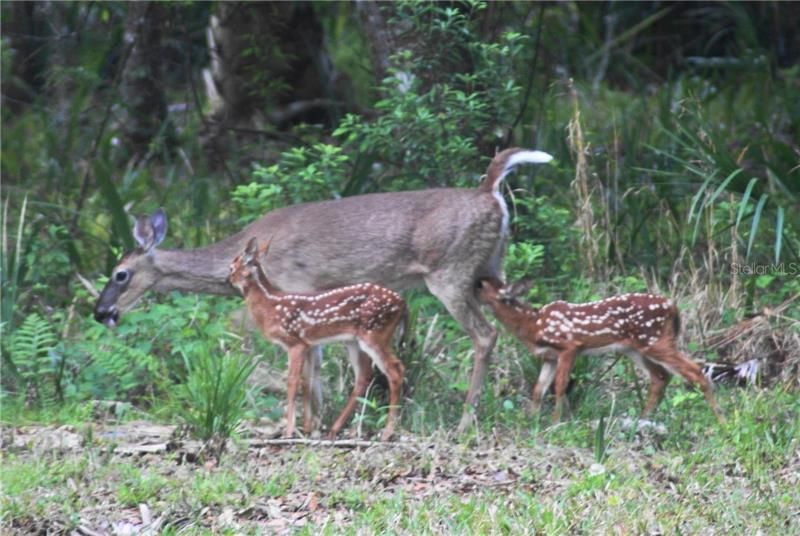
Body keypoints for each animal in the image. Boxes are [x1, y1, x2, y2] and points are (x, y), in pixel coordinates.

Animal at [230, 238, 406, 440]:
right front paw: (307, 428)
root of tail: (403, 303)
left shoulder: (294, 342)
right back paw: (336, 429)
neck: (271, 305)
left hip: (375, 333)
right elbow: (308, 382)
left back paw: (387, 432)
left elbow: (292, 382)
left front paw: (289, 431)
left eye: (231, 267)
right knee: (363, 376)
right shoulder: (309, 344)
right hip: (355, 341)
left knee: (395, 370)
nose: (228, 279)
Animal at [476, 276, 724, 422]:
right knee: (660, 377)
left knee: (694, 371)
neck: (533, 325)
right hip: (635, 348)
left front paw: (556, 422)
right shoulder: (549, 356)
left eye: (483, 285)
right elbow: (539, 388)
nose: (475, 281)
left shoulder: (570, 346)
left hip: (655, 340)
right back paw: (642, 419)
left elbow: (560, 385)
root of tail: (673, 307)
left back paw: (720, 420)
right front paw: (533, 421)